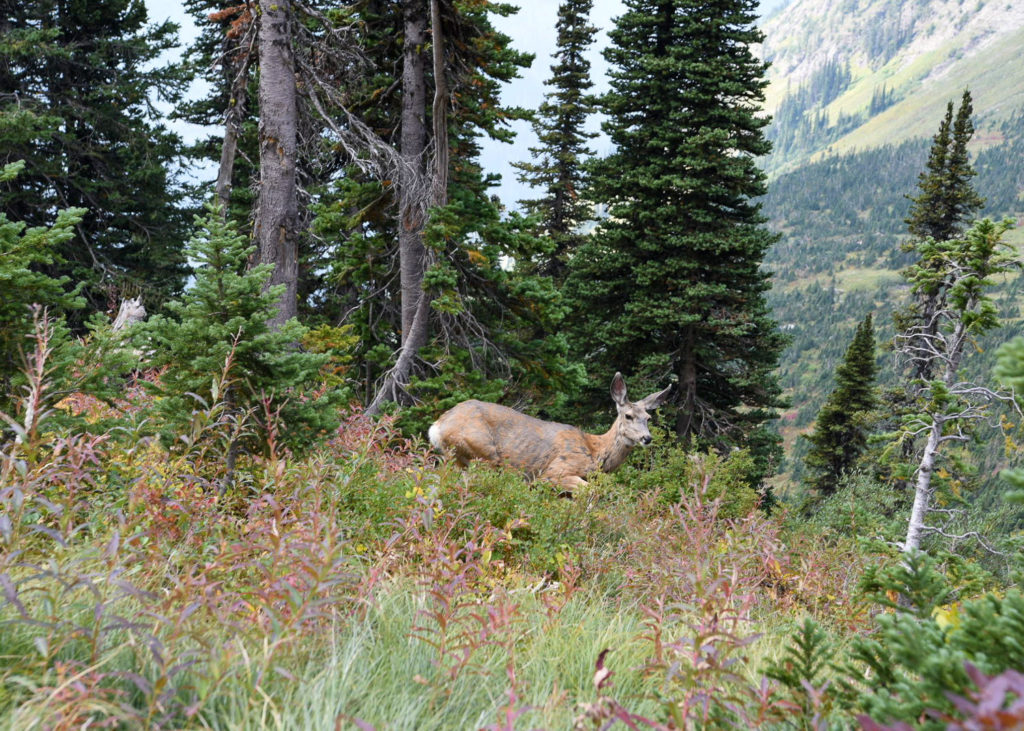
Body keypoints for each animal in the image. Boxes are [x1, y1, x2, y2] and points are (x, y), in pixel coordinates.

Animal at [425, 372, 671, 487]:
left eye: (648, 417)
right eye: (628, 416)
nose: (647, 438)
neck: (595, 451)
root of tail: (437, 427)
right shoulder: (554, 472)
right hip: (482, 454)